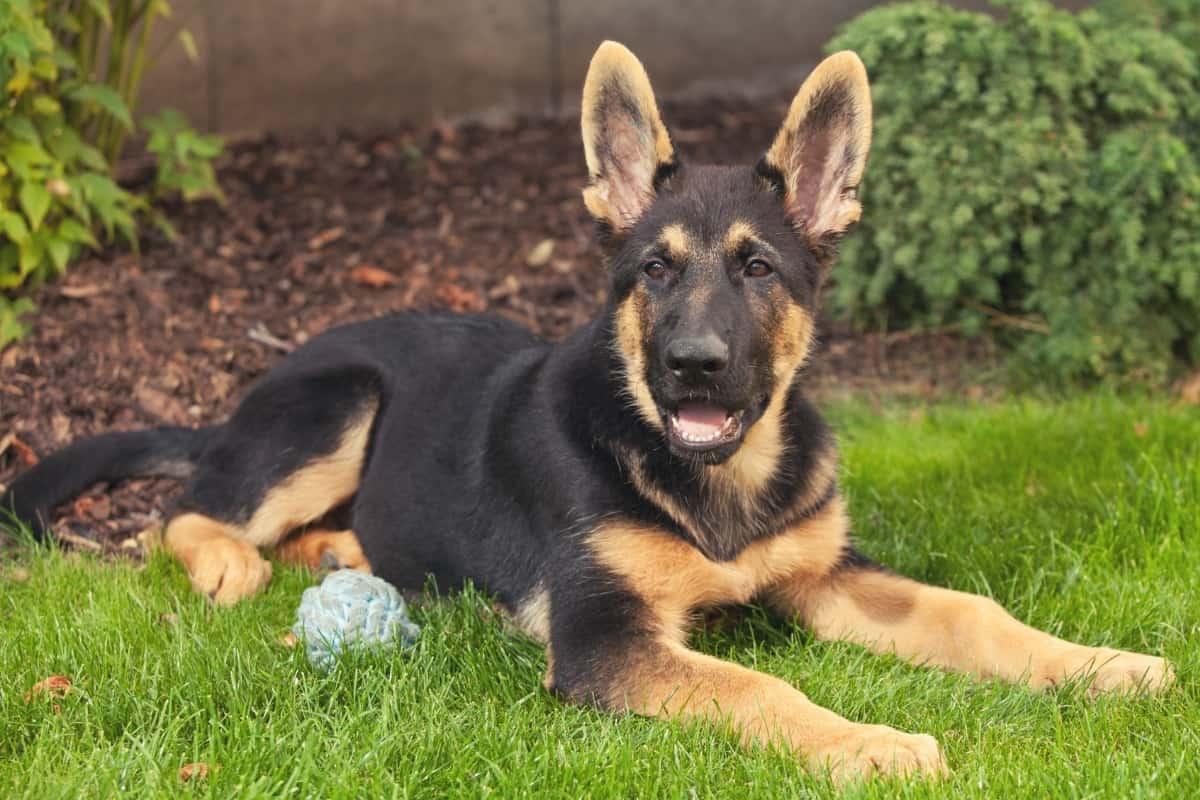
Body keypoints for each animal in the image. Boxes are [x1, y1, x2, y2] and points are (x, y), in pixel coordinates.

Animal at [4, 42, 1176, 777]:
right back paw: (235, 563)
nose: (694, 367)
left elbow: (973, 614)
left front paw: (1104, 666)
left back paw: (341, 556)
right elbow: (757, 689)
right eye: (653, 272)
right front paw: (870, 744)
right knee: (188, 514)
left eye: (757, 269)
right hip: (339, 400)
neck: (716, 480)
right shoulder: (606, 640)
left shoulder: (827, 574)